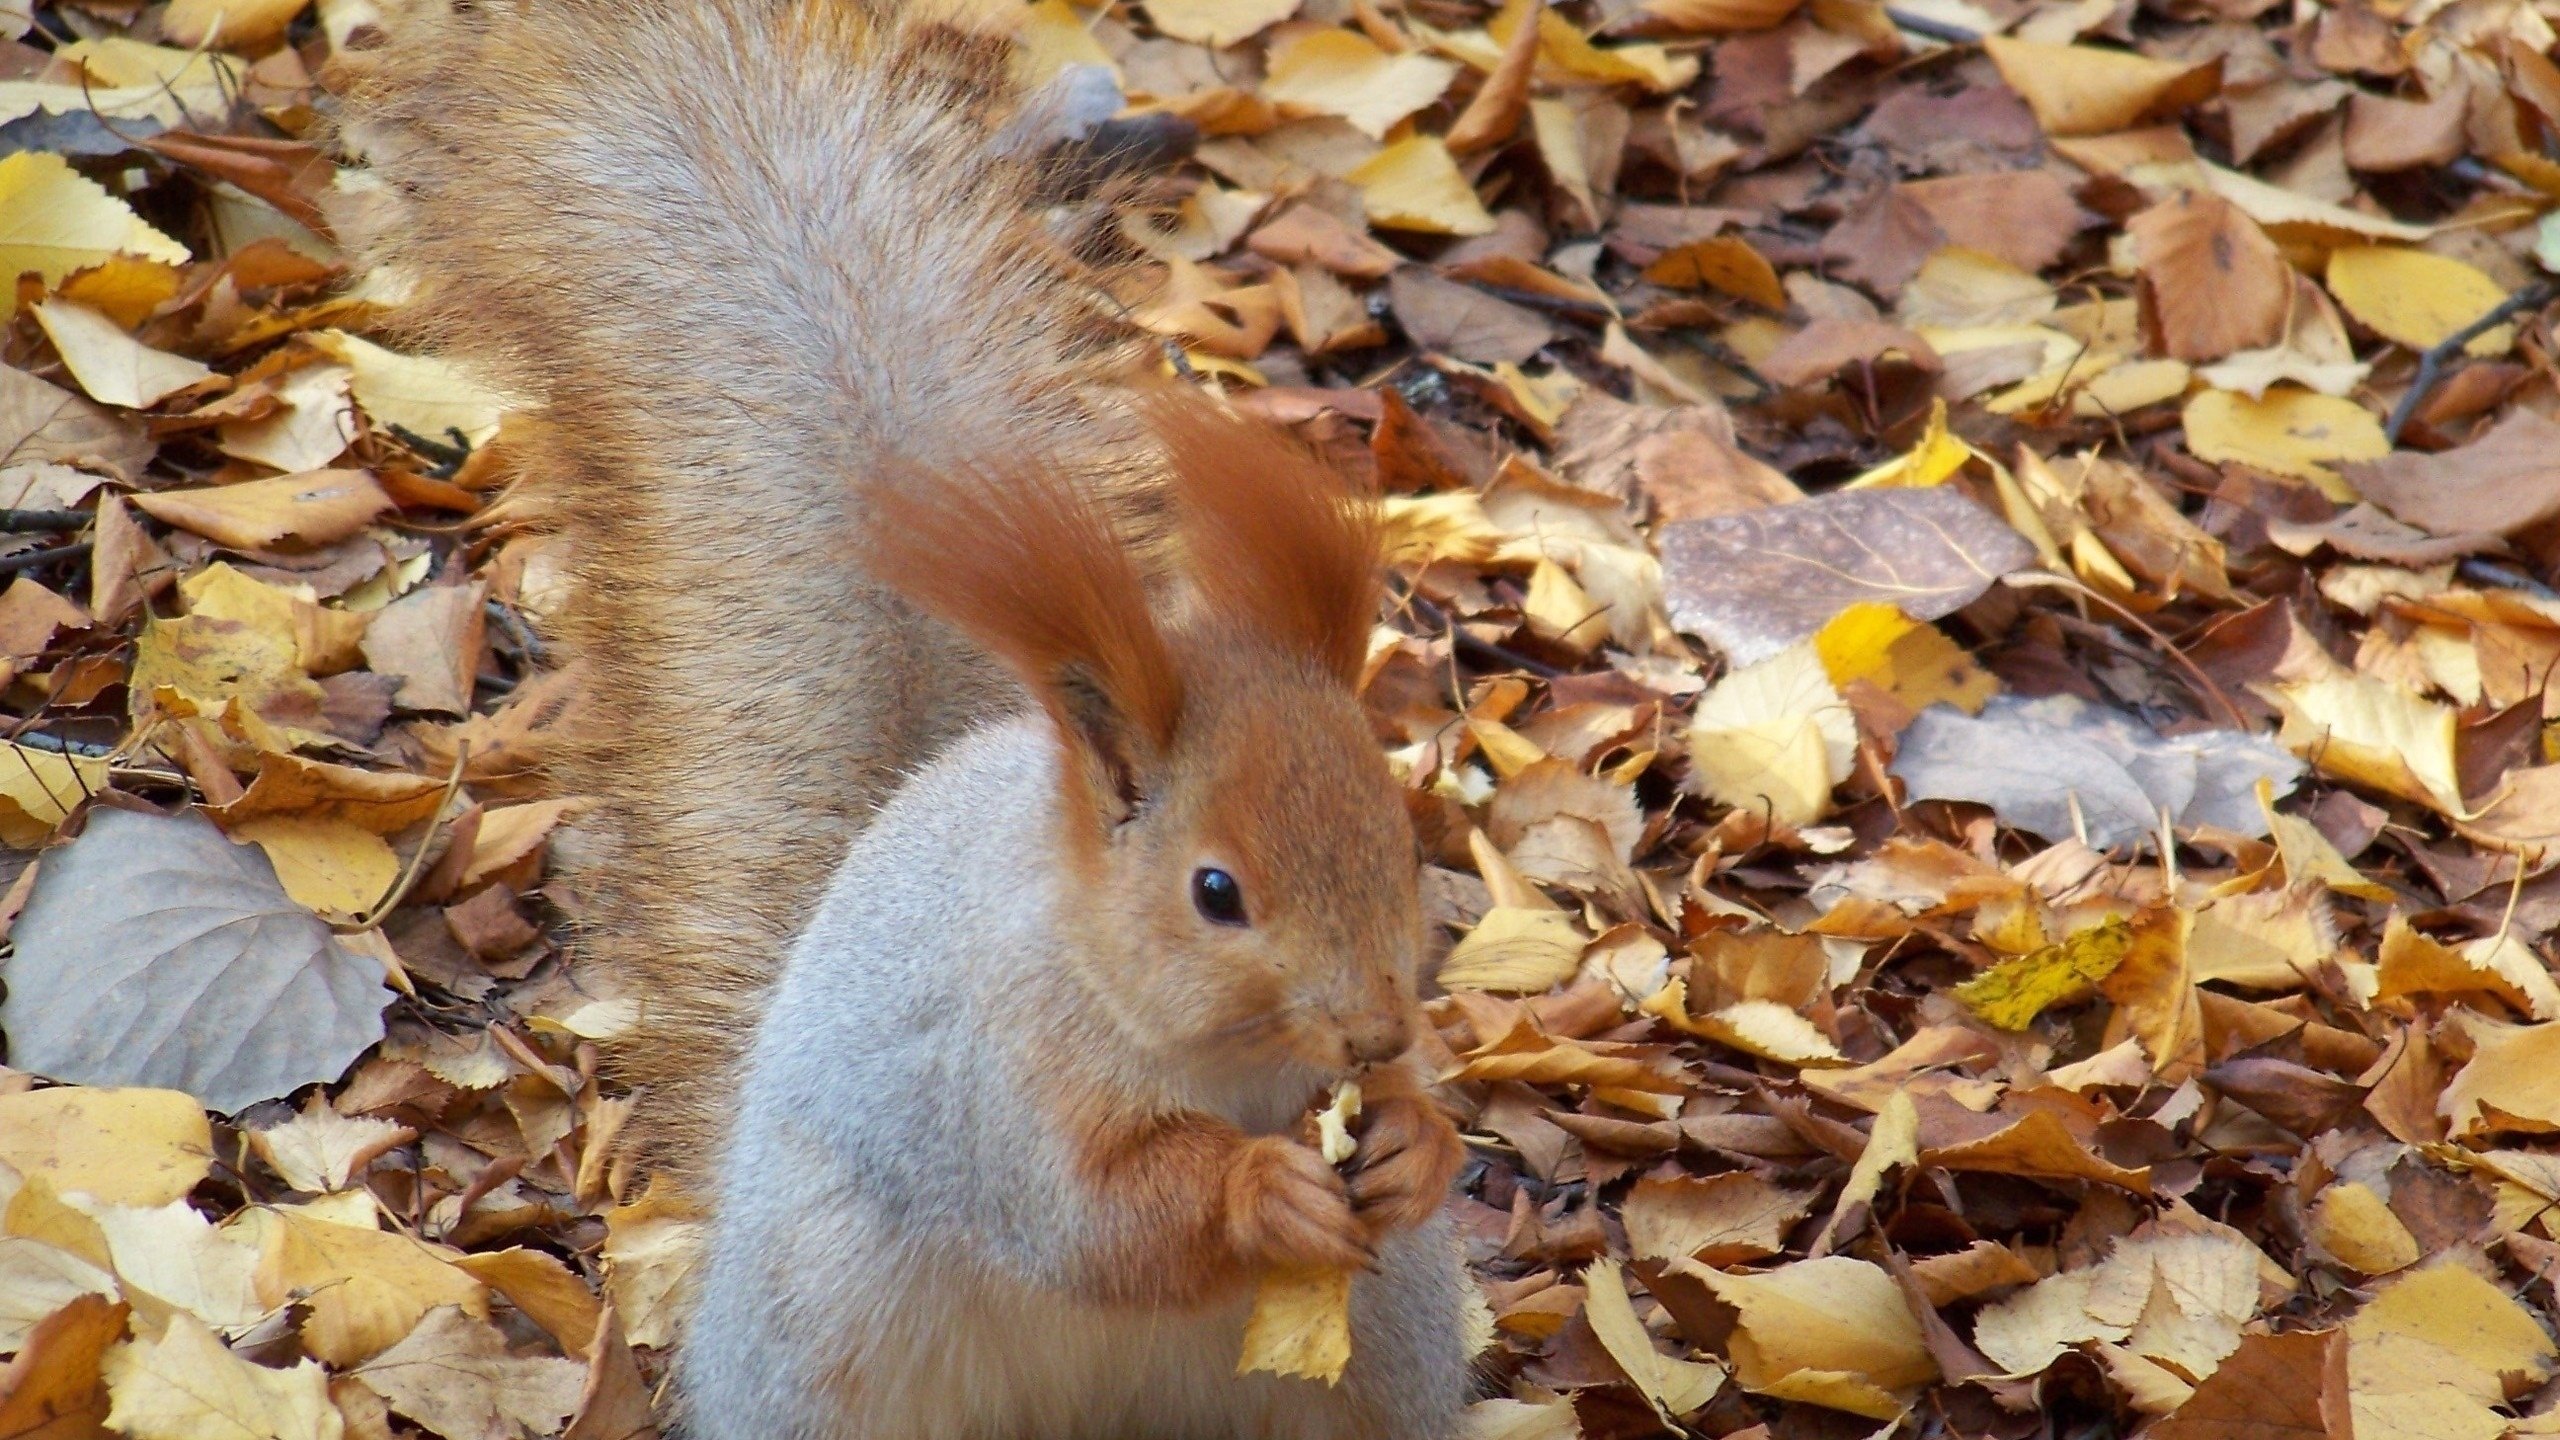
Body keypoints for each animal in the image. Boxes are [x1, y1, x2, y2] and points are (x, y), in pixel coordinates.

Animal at [350, 0, 1495, 1424]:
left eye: (1401, 840)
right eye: (1215, 893)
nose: (1378, 1031)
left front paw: (1411, 1139)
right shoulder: (993, 1086)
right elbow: (1097, 1222)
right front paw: (1259, 1187)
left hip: (1384, 1348)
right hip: (825, 1330)